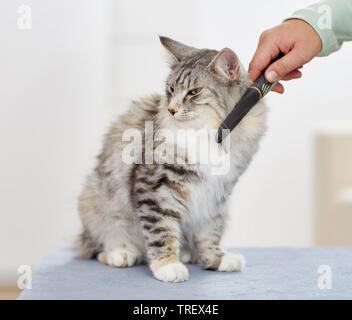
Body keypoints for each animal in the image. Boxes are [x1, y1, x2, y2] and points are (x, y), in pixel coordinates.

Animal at [77, 36, 266, 282]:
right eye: (172, 89)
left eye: (194, 92)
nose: (171, 109)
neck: (207, 133)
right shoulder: (155, 187)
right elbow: (162, 231)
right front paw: (167, 266)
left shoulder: (217, 193)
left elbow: (210, 232)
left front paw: (216, 259)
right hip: (95, 202)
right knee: (100, 246)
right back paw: (122, 253)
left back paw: (187, 253)